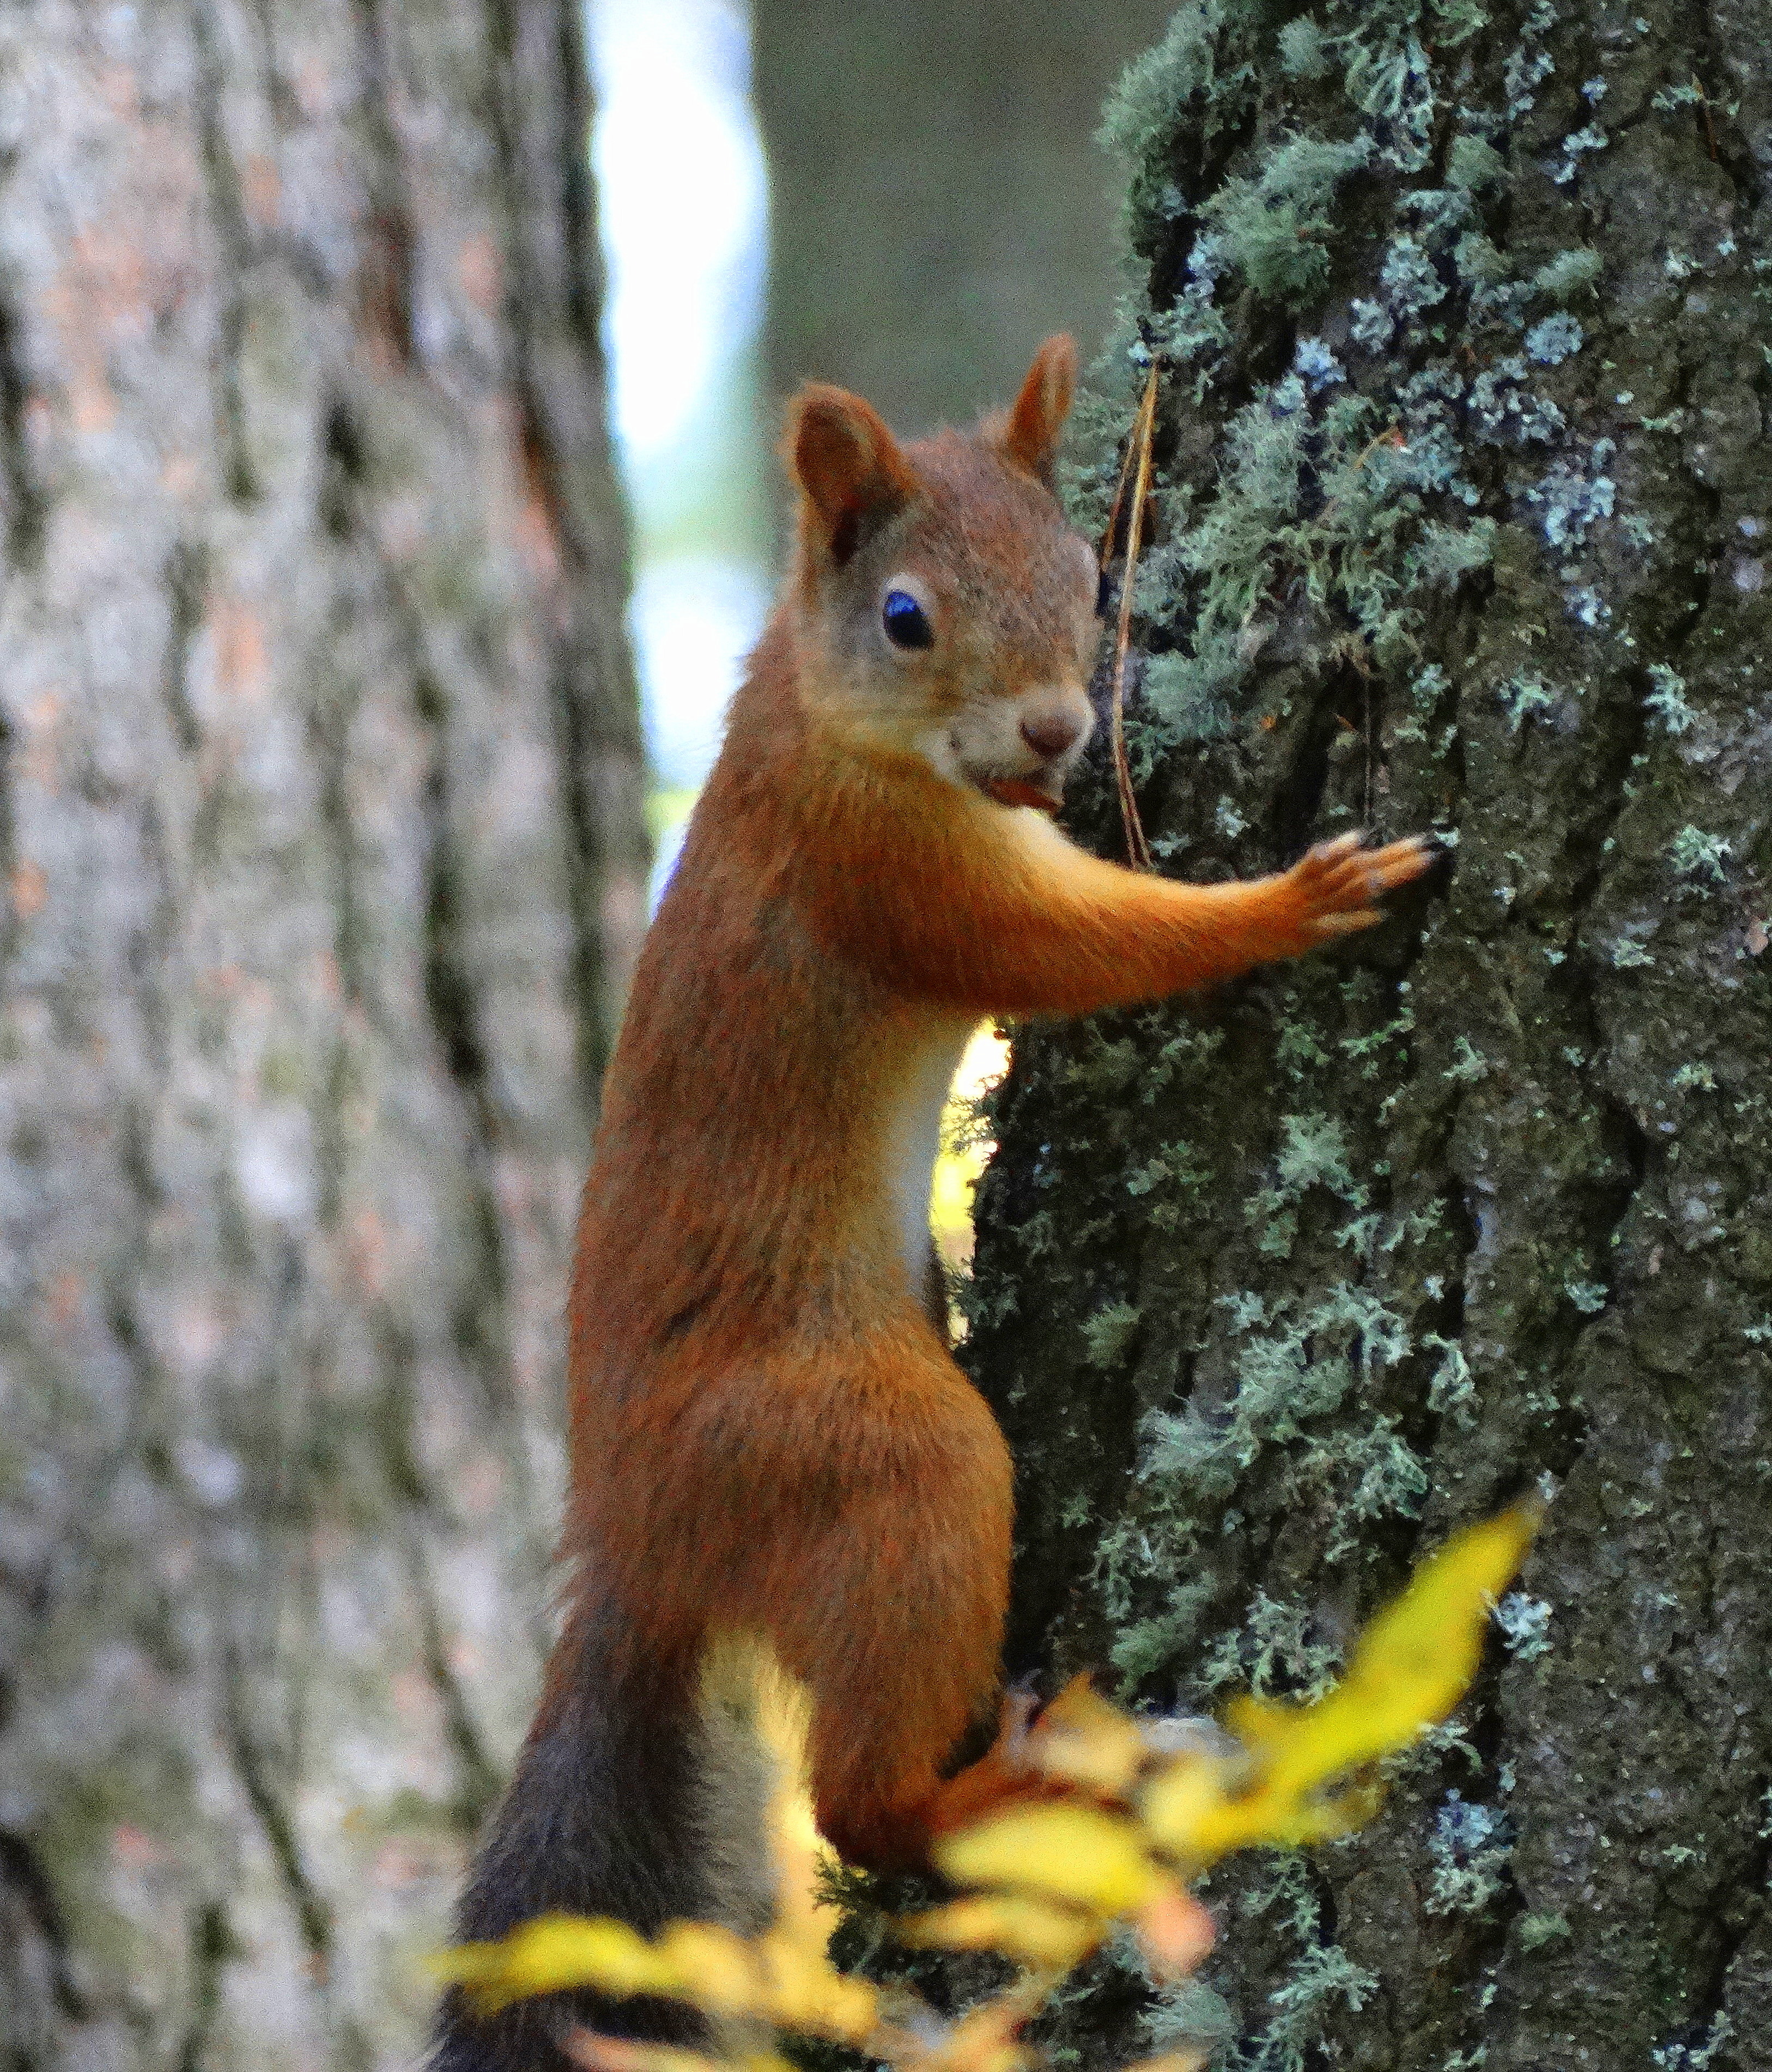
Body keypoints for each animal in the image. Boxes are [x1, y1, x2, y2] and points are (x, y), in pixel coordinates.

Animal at [437, 331, 1434, 2063]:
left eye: (1091, 572)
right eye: (905, 616)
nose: (1052, 732)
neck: (821, 715)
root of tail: (634, 1536)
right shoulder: (891, 875)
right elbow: (1089, 948)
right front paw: (1295, 900)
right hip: (873, 1461)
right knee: (860, 1802)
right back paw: (1017, 1787)